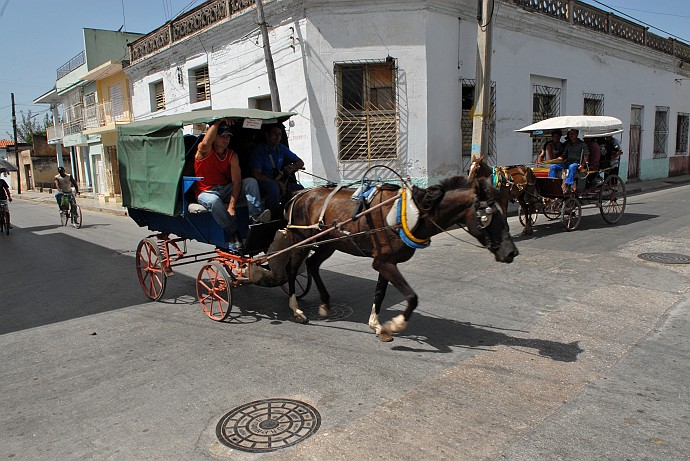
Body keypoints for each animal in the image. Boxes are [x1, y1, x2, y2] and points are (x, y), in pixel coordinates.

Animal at [280, 174, 516, 340]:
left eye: (504, 211)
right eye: (487, 217)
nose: (511, 252)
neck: (412, 214)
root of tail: (299, 195)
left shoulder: (385, 262)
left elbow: (380, 293)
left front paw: (376, 324)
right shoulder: (384, 262)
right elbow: (412, 297)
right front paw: (394, 325)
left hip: (329, 244)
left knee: (312, 264)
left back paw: (325, 303)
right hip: (301, 241)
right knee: (292, 269)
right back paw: (296, 310)